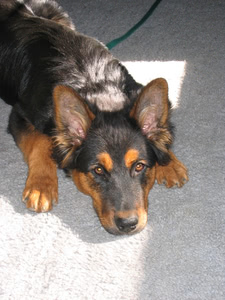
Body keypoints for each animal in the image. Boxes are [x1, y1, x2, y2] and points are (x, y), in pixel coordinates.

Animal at [0, 0, 188, 234]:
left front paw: (169, 162)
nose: (128, 225)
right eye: (98, 170)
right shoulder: (19, 115)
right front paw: (41, 184)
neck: (98, 87)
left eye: (139, 166)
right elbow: (39, 142)